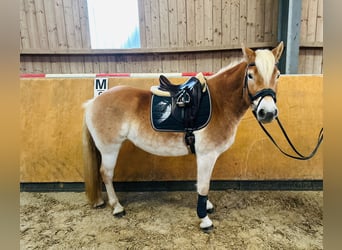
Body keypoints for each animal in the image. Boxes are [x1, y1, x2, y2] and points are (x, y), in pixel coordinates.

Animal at [82, 42, 284, 231]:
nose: (267, 113)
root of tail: (92, 102)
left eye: (278, 75)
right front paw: (204, 219)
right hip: (109, 148)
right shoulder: (207, 155)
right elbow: (203, 185)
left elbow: (202, 183)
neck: (219, 103)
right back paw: (117, 207)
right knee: (106, 174)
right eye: (250, 75)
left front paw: (207, 206)